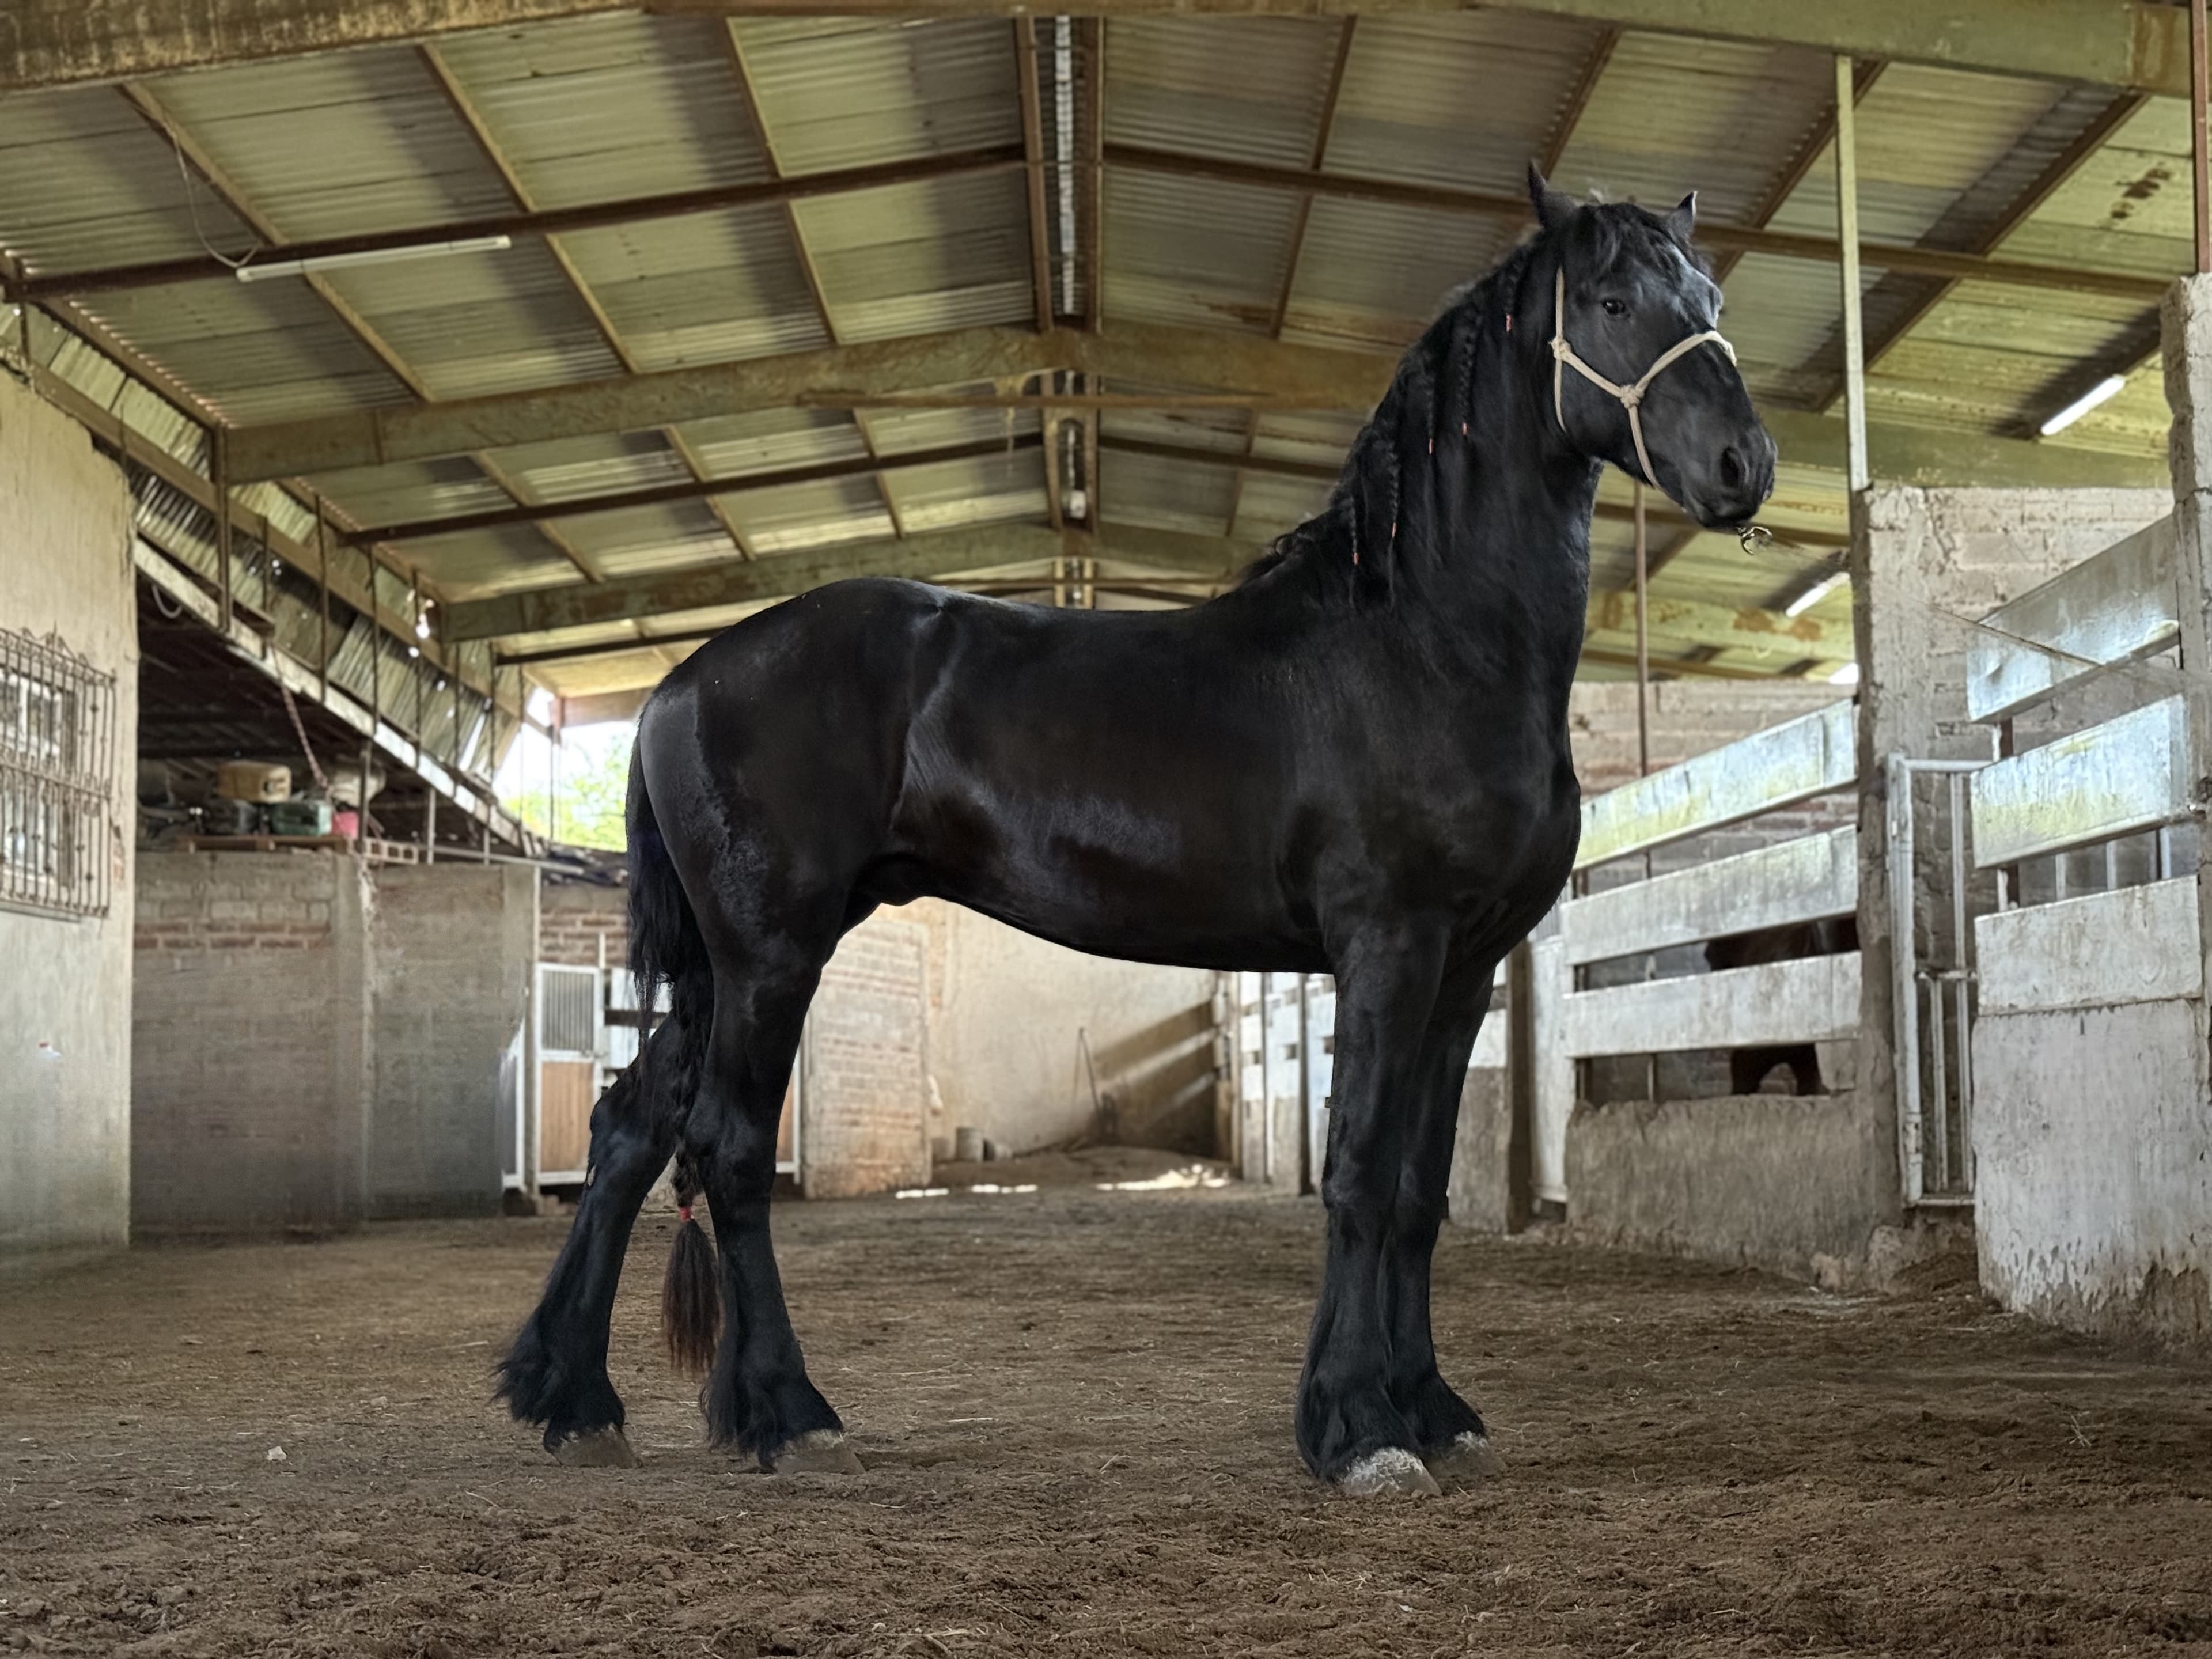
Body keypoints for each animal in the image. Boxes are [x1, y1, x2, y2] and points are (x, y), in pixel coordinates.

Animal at [497, 165, 1775, 1497]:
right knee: (729, 1146)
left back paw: (573, 1396)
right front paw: (1355, 1427)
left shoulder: (1466, 968)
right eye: (1615, 302)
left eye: (1711, 299)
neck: (1422, 641)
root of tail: (681, 681)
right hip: (769, 957)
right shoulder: (1389, 949)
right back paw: (782, 1409)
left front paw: (1430, 1407)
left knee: (631, 1125)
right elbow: (1361, 1174)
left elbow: (1421, 1191)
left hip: (724, 965)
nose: (1743, 465)